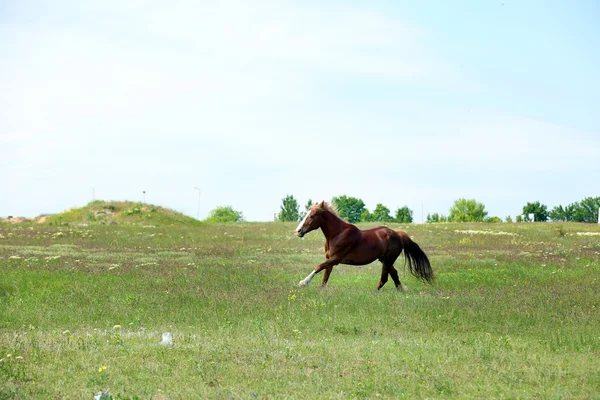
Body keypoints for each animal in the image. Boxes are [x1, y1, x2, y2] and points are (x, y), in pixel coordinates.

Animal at [294, 200, 432, 290]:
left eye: (312, 216)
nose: (298, 231)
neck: (337, 234)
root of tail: (398, 234)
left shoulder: (336, 258)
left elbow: (318, 267)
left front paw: (303, 283)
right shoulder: (330, 259)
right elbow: (325, 278)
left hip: (388, 260)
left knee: (385, 278)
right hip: (384, 259)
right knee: (394, 274)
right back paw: (401, 291)